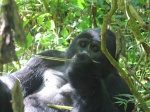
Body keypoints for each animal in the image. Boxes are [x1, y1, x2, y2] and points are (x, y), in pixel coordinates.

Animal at [0, 28, 134, 112]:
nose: (84, 53)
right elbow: (17, 82)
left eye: (95, 49)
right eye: (82, 44)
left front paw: (84, 74)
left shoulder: (120, 84)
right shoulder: (45, 57)